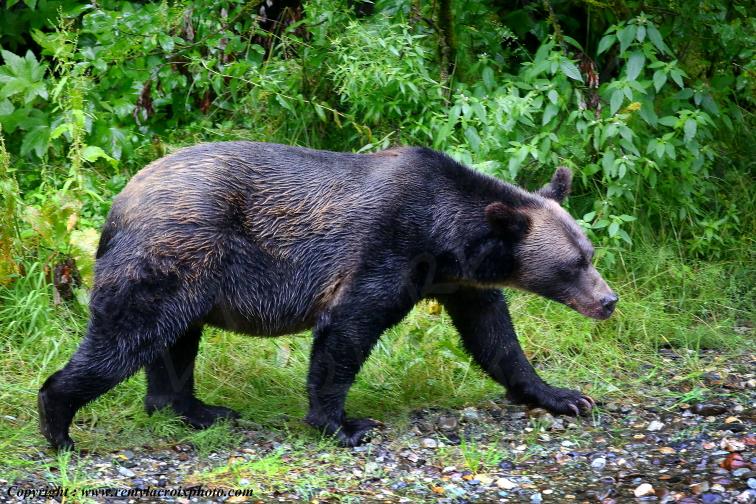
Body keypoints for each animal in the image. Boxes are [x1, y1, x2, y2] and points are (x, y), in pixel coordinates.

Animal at [38, 142, 618, 450]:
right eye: (573, 265)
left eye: (590, 252)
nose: (608, 300)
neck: (445, 239)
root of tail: (118, 204)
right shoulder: (387, 248)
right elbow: (347, 331)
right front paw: (344, 423)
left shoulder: (459, 283)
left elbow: (495, 338)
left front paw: (564, 395)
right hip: (177, 252)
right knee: (127, 336)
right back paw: (60, 426)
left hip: (191, 276)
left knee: (174, 344)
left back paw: (198, 410)